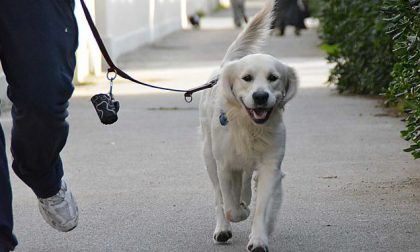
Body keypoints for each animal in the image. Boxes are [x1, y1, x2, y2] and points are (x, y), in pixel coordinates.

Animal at [199, 0, 296, 251]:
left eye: (273, 78)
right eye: (247, 78)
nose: (260, 97)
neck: (249, 126)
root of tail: (225, 66)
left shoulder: (271, 164)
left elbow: (262, 205)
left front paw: (259, 238)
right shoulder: (224, 164)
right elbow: (230, 206)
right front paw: (240, 212)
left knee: (245, 180)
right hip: (209, 156)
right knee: (219, 197)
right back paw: (222, 229)